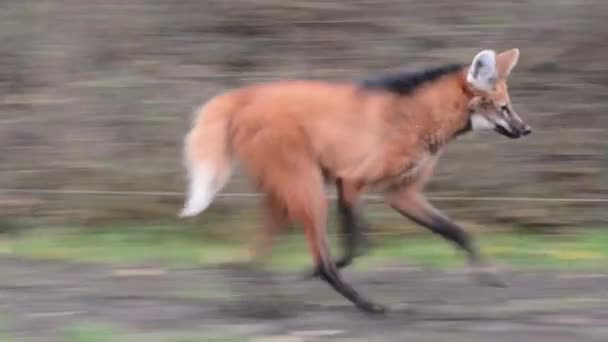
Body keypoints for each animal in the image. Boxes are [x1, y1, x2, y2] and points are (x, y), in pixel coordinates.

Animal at [178, 48, 528, 312]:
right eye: (503, 108)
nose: (526, 130)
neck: (420, 117)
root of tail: (244, 96)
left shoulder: (400, 193)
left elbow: (457, 231)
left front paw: (489, 275)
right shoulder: (350, 181)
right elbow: (358, 244)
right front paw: (324, 268)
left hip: (284, 192)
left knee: (256, 252)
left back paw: (258, 295)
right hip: (307, 189)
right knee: (320, 262)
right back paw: (367, 305)